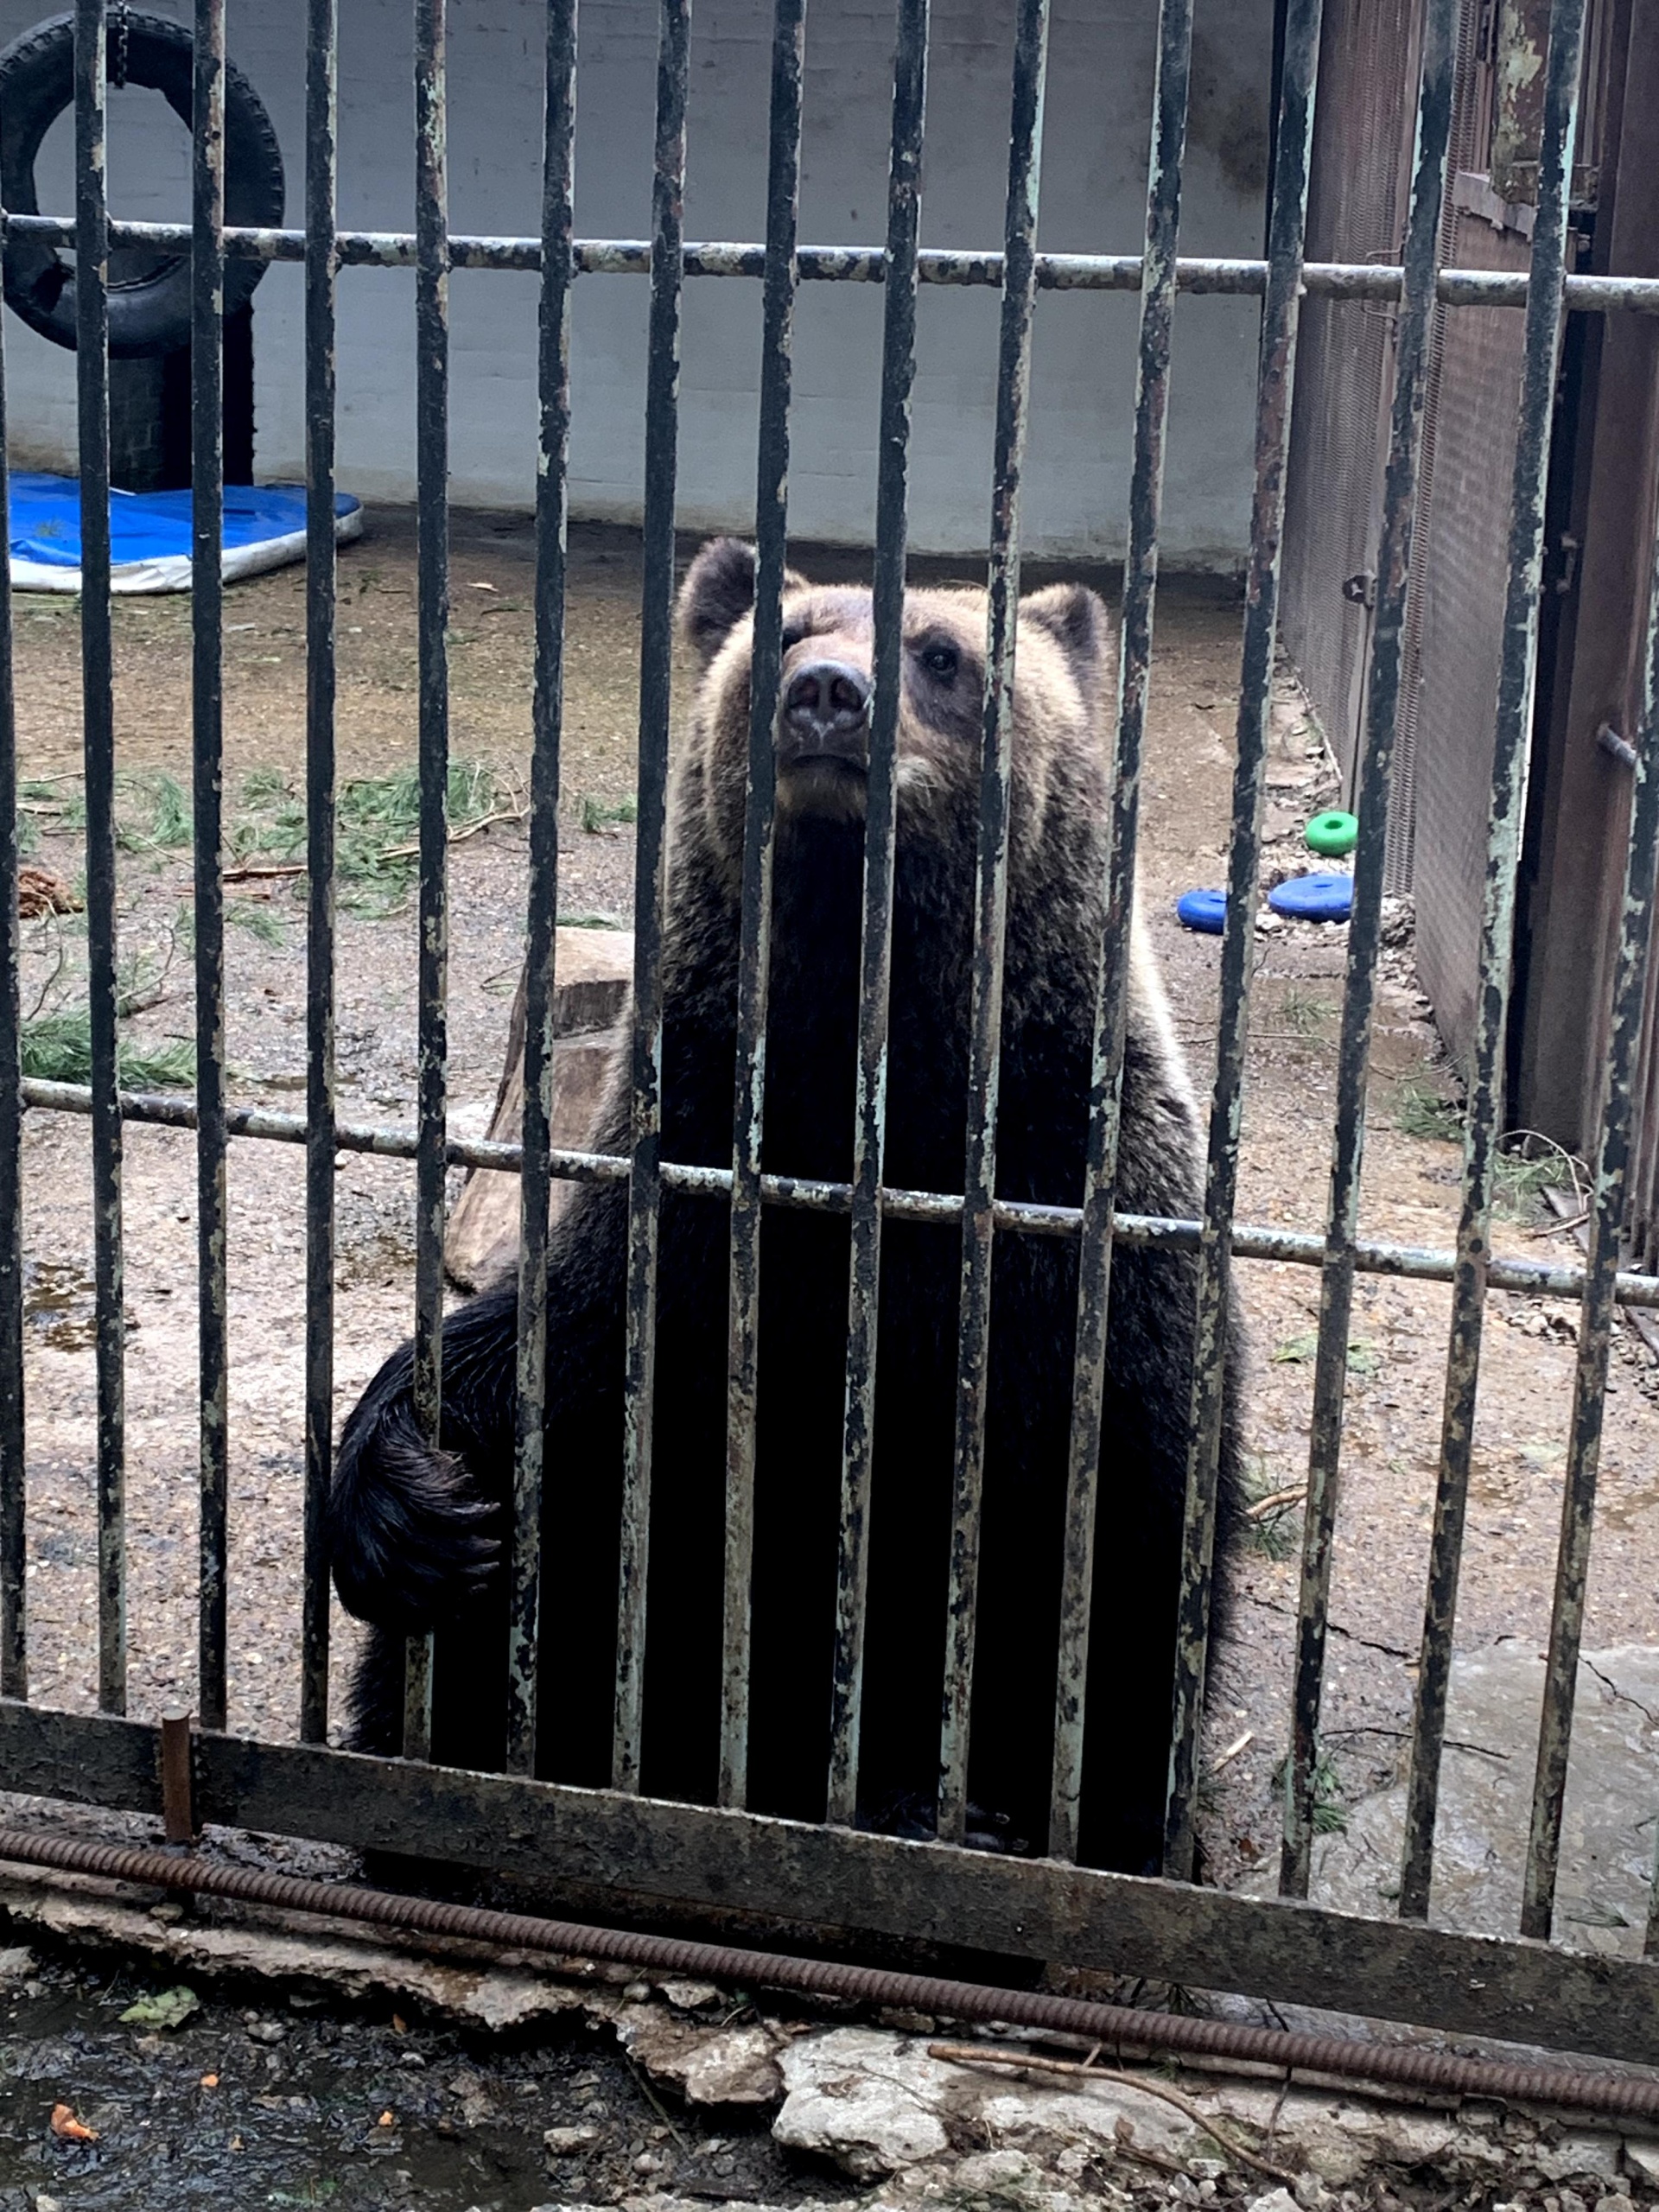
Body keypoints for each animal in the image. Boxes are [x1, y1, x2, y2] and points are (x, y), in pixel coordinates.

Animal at [332, 535, 1238, 1866]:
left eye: (942, 653)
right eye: (788, 634)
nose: (825, 697)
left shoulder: (1086, 1241)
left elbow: (1125, 1553)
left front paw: (1034, 1817)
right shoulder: (694, 1210)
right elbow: (542, 1362)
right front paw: (409, 1503)